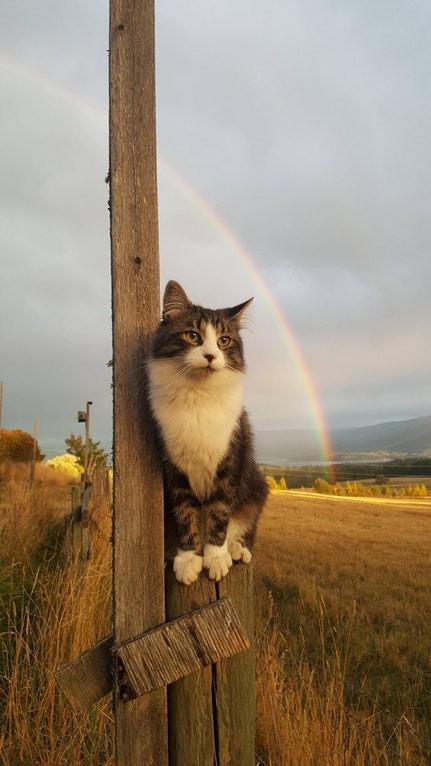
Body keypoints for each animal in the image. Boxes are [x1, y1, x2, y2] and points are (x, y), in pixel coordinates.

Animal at [149, 282, 270, 588]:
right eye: (193, 336)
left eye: (224, 341)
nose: (211, 356)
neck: (198, 395)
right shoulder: (174, 468)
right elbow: (185, 515)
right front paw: (188, 559)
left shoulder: (229, 462)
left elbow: (219, 512)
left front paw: (215, 558)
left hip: (256, 486)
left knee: (241, 525)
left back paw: (236, 550)